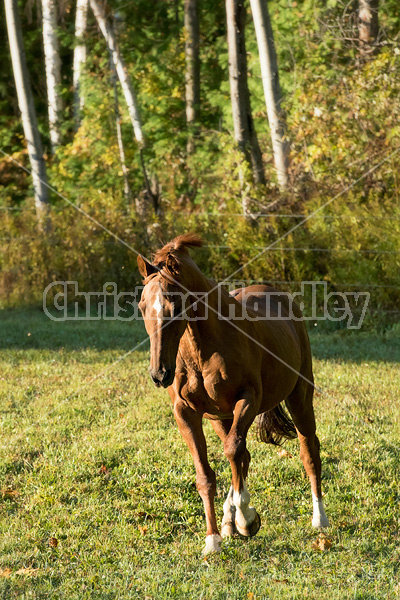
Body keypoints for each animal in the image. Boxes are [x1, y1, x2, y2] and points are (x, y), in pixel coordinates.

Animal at [138, 234, 328, 552]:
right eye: (142, 306)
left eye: (173, 305)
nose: (159, 373)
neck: (203, 349)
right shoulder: (186, 413)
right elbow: (207, 474)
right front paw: (213, 538)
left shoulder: (248, 399)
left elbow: (232, 450)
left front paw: (246, 519)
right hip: (220, 418)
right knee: (244, 456)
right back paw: (228, 523)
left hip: (299, 397)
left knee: (308, 451)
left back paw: (319, 519)